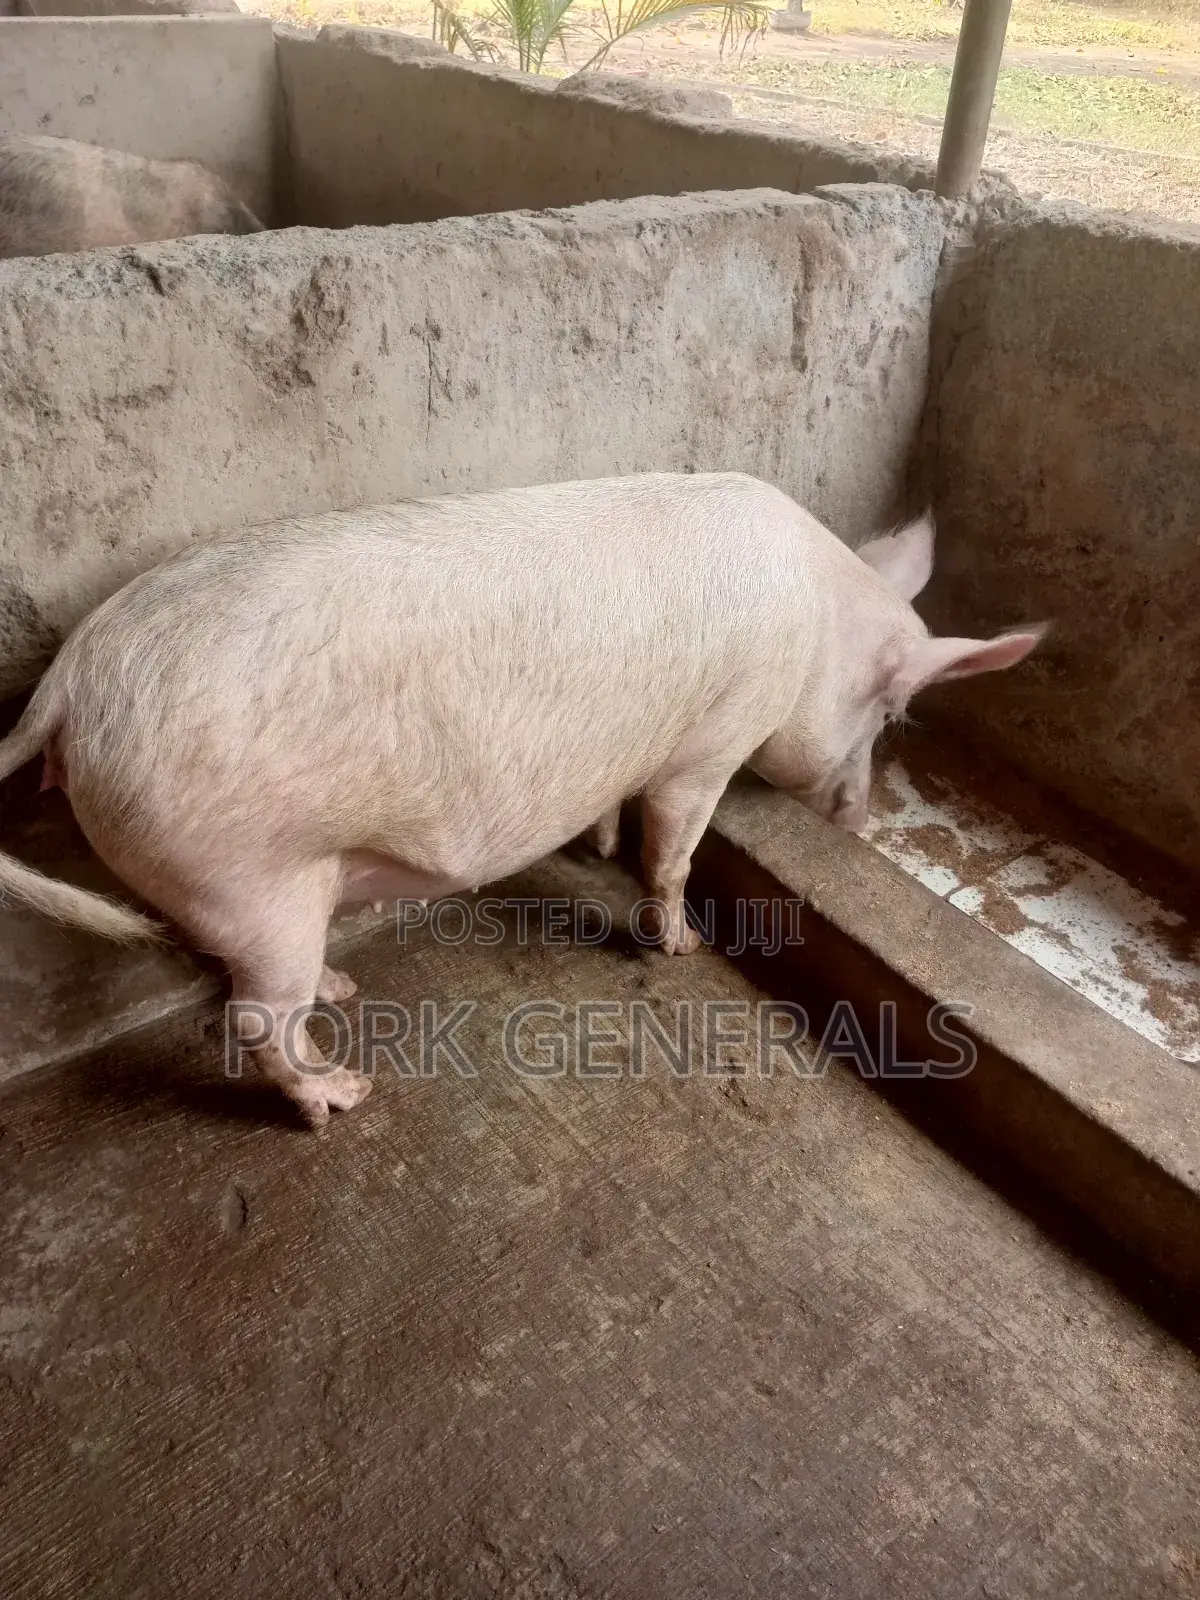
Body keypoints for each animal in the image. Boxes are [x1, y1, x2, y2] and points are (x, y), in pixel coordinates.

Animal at [0, 473, 1042, 1125]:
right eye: (892, 712)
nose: (858, 819)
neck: (819, 624)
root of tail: (71, 684)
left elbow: (621, 812)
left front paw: (600, 845)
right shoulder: (712, 740)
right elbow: (676, 847)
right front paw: (682, 944)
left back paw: (341, 993)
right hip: (240, 873)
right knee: (255, 1018)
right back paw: (345, 1097)